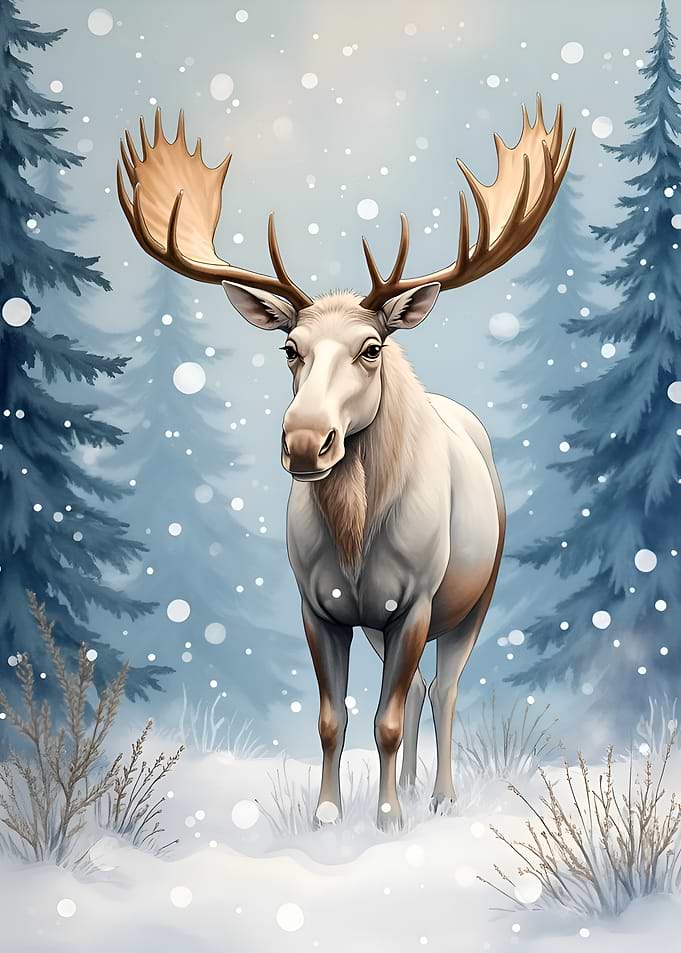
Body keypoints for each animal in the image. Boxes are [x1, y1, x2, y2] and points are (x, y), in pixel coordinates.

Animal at [117, 97, 574, 829]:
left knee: (444, 688)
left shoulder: (414, 602)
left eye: (370, 347)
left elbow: (385, 720)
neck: (358, 536)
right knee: (418, 691)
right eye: (289, 348)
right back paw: (412, 786)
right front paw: (329, 816)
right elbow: (334, 719)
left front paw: (386, 819)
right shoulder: (319, 607)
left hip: (476, 596)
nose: (306, 442)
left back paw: (437, 796)